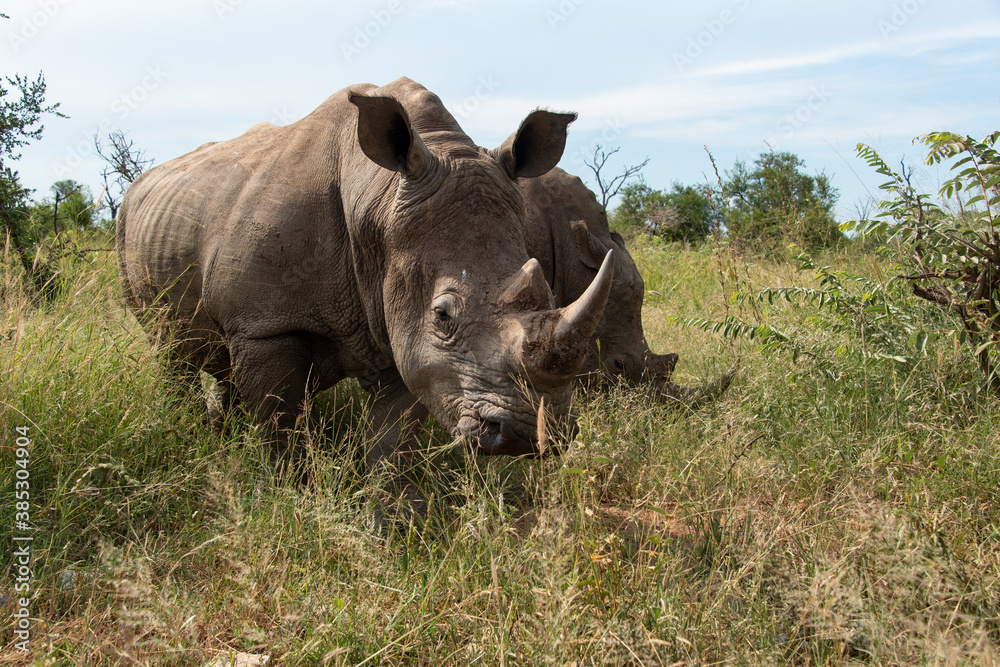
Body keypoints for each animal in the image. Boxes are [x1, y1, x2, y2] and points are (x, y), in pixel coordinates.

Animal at [116, 78, 615, 492]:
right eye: (442, 315)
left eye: (549, 295)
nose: (526, 435)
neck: (377, 197)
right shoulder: (263, 324)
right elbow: (279, 428)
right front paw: (290, 498)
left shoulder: (400, 332)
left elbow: (391, 446)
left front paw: (392, 519)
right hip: (127, 228)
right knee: (167, 350)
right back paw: (190, 431)